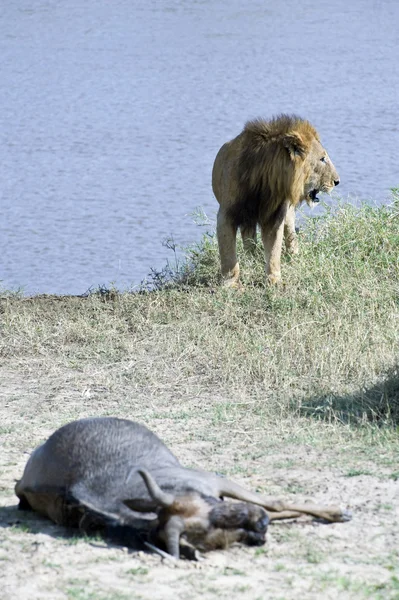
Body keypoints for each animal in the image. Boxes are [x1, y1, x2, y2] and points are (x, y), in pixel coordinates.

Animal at [212, 117, 340, 288]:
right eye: (322, 159)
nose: (337, 181)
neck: (264, 181)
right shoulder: (227, 215)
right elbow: (227, 253)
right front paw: (230, 282)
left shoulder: (275, 216)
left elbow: (273, 250)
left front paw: (274, 279)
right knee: (248, 237)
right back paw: (251, 257)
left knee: (289, 230)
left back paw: (293, 254)